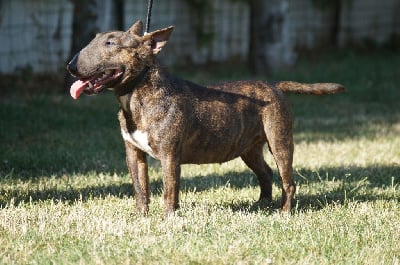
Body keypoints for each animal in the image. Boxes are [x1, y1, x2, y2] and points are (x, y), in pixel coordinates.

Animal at [66, 20, 344, 214]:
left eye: (111, 43)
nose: (70, 66)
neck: (136, 95)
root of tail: (274, 85)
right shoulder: (133, 154)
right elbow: (140, 190)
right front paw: (141, 218)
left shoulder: (170, 156)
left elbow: (169, 191)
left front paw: (169, 220)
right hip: (249, 148)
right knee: (265, 172)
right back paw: (262, 204)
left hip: (280, 141)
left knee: (288, 180)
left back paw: (283, 212)